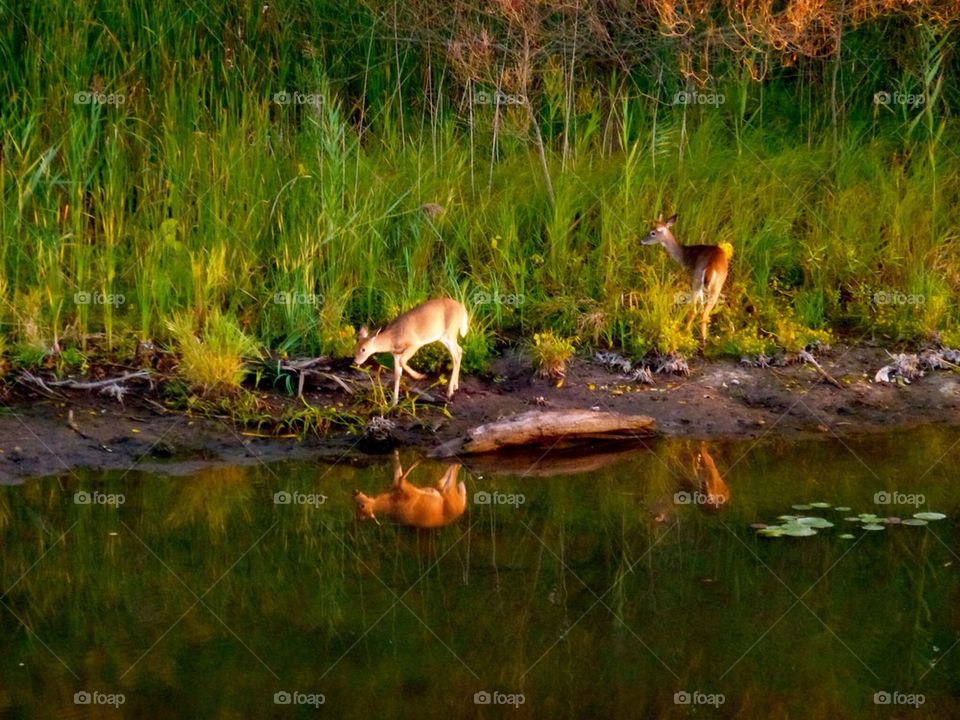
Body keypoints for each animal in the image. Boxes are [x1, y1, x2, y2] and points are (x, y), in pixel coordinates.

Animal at [641, 214, 732, 343]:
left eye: (652, 232)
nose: (641, 241)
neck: (685, 255)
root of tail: (711, 267)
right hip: (716, 286)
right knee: (704, 313)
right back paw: (704, 338)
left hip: (697, 280)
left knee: (694, 310)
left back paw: (686, 333)